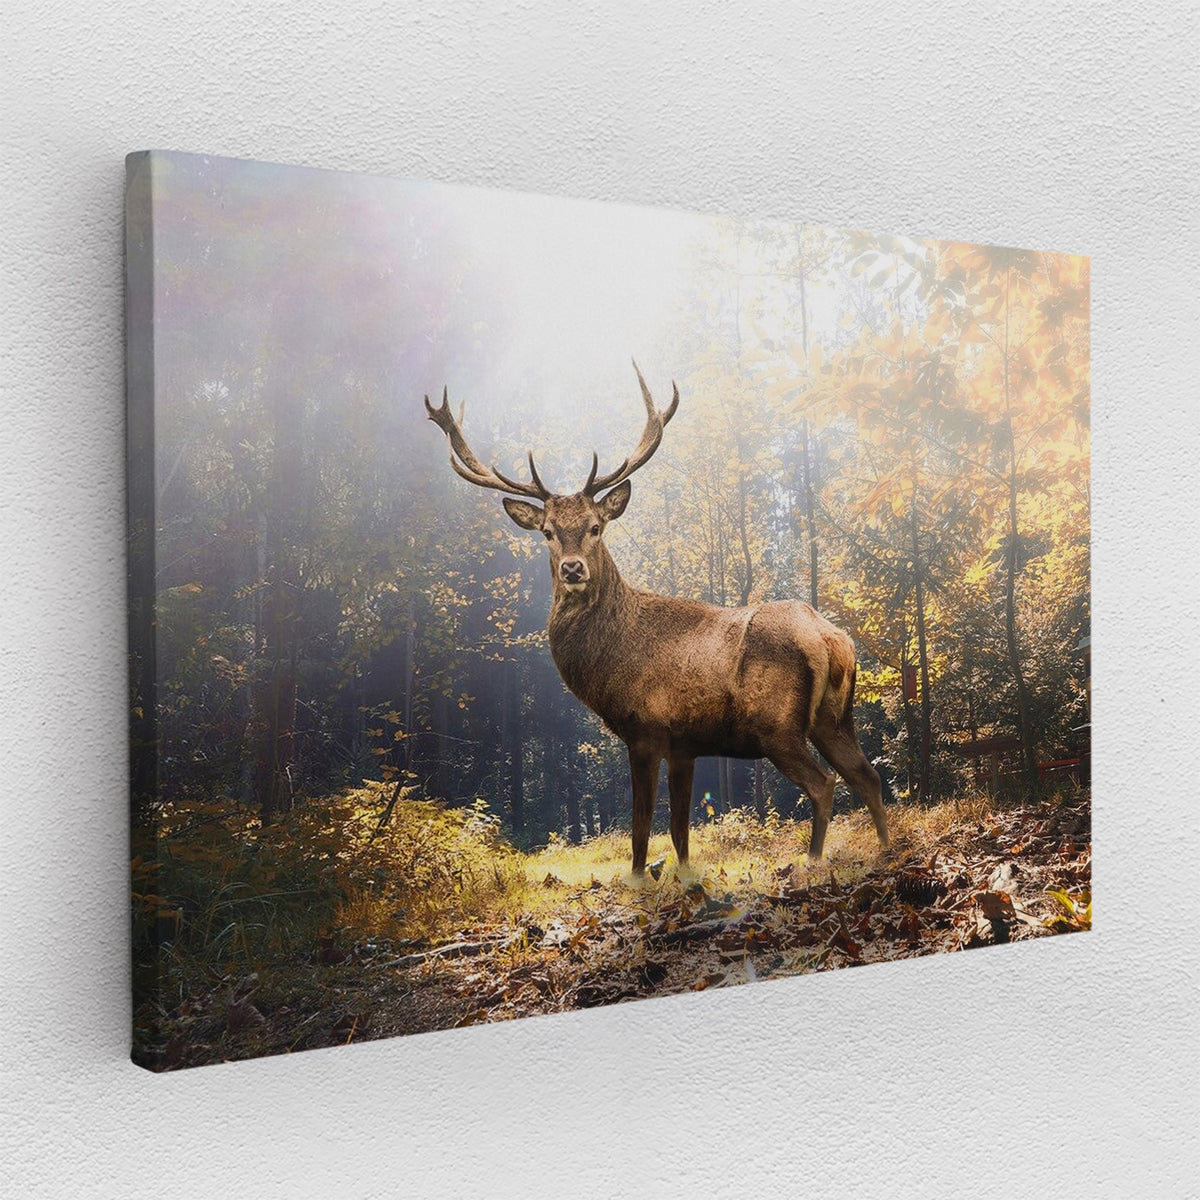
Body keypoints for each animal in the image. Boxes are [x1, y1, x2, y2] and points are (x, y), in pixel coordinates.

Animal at [425, 363, 890, 876]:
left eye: (596, 527)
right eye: (547, 532)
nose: (572, 569)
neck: (610, 662)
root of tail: (831, 639)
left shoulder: (644, 728)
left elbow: (642, 825)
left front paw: (637, 880)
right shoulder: (684, 743)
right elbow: (681, 828)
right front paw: (683, 876)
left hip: (777, 724)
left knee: (824, 783)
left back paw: (812, 860)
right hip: (835, 718)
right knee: (869, 776)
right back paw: (887, 849)